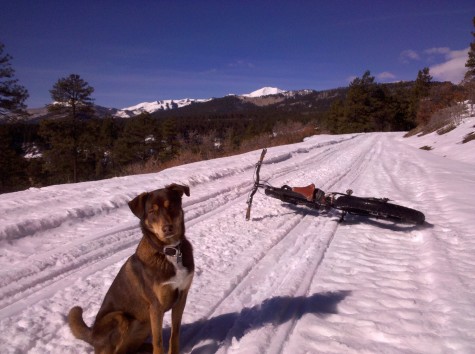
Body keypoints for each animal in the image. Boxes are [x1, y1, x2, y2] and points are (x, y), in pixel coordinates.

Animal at [67, 184, 193, 354]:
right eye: (152, 211)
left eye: (171, 206)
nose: (167, 228)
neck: (169, 251)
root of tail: (92, 335)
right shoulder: (156, 306)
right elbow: (158, 342)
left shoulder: (181, 297)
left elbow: (175, 334)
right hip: (120, 318)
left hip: (144, 324)